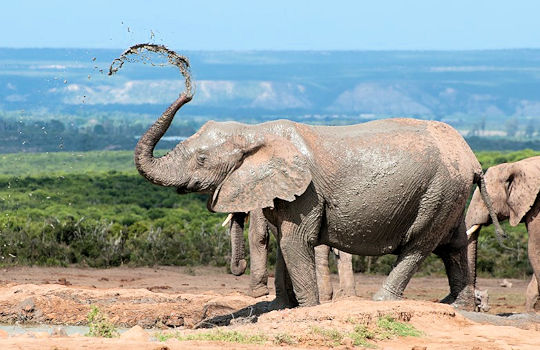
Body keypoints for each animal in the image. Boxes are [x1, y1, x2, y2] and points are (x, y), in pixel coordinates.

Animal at [123, 52, 506, 308]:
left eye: (201, 159)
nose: (185, 77)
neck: (255, 131)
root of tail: (472, 157)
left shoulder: (305, 193)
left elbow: (296, 243)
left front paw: (307, 309)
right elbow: (283, 244)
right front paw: (282, 309)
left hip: (438, 191)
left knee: (419, 245)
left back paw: (382, 301)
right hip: (449, 192)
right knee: (453, 244)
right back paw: (457, 307)